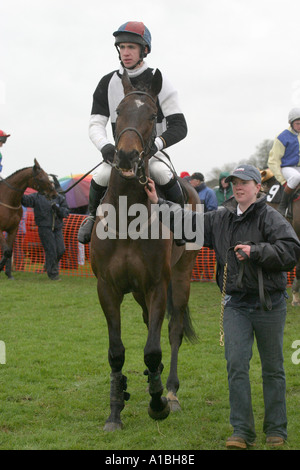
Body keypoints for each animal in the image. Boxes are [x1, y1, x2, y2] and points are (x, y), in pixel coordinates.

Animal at [90, 69, 200, 430]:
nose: (125, 156)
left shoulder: (156, 285)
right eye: (118, 112)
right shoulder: (107, 288)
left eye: (153, 115)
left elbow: (152, 348)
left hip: (180, 277)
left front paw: (157, 403)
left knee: (174, 329)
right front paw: (115, 408)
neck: (127, 217)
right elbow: (116, 351)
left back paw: (171, 392)